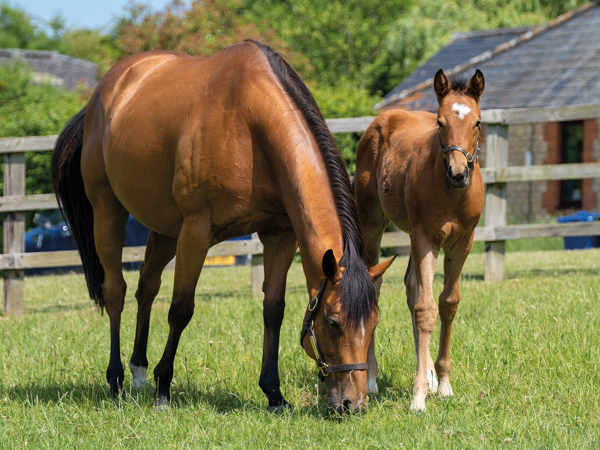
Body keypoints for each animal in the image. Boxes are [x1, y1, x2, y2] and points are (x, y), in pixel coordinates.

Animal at [52, 42, 394, 414]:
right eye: (332, 322)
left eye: (373, 323)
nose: (352, 403)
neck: (249, 123)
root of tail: (104, 92)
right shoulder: (196, 232)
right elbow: (181, 309)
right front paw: (163, 390)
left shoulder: (280, 235)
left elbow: (273, 310)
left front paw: (274, 394)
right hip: (108, 211)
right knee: (116, 291)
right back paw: (116, 380)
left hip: (165, 229)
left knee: (147, 287)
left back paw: (138, 371)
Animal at [354, 69, 486, 412]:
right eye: (440, 122)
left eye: (478, 122)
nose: (458, 173)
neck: (451, 193)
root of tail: (383, 117)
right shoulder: (426, 238)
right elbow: (426, 309)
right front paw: (418, 397)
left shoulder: (462, 242)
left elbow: (447, 304)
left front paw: (442, 383)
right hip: (373, 224)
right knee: (375, 284)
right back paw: (371, 379)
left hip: (412, 234)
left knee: (411, 287)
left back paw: (428, 375)